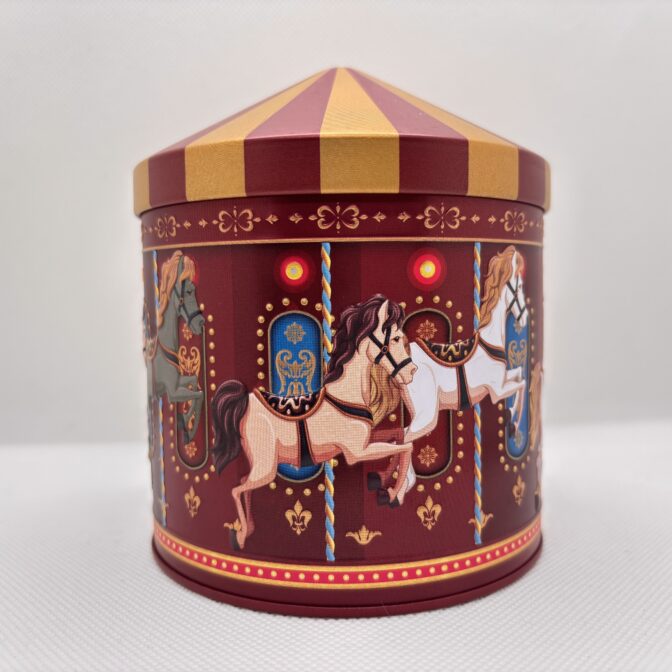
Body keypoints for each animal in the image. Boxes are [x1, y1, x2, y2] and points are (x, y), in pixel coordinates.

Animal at [145, 250, 206, 446]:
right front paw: (186, 426)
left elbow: (196, 385)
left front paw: (185, 423)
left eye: (194, 288)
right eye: (189, 291)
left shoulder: (178, 381)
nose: (200, 323)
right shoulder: (171, 392)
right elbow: (198, 394)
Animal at [211, 295, 418, 551]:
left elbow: (399, 435)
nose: (412, 371)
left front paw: (379, 481)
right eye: (396, 338)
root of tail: (246, 401)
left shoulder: (366, 441)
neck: (345, 396)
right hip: (266, 467)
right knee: (236, 489)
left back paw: (248, 529)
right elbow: (407, 447)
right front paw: (393, 495)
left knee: (242, 484)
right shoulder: (356, 453)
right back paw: (239, 537)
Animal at [400, 245, 529, 447]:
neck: (489, 341)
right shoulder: (497, 390)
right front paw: (512, 420)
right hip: (426, 416)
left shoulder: (503, 379)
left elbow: (520, 374)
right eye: (521, 286)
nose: (525, 318)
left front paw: (512, 422)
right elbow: (521, 384)